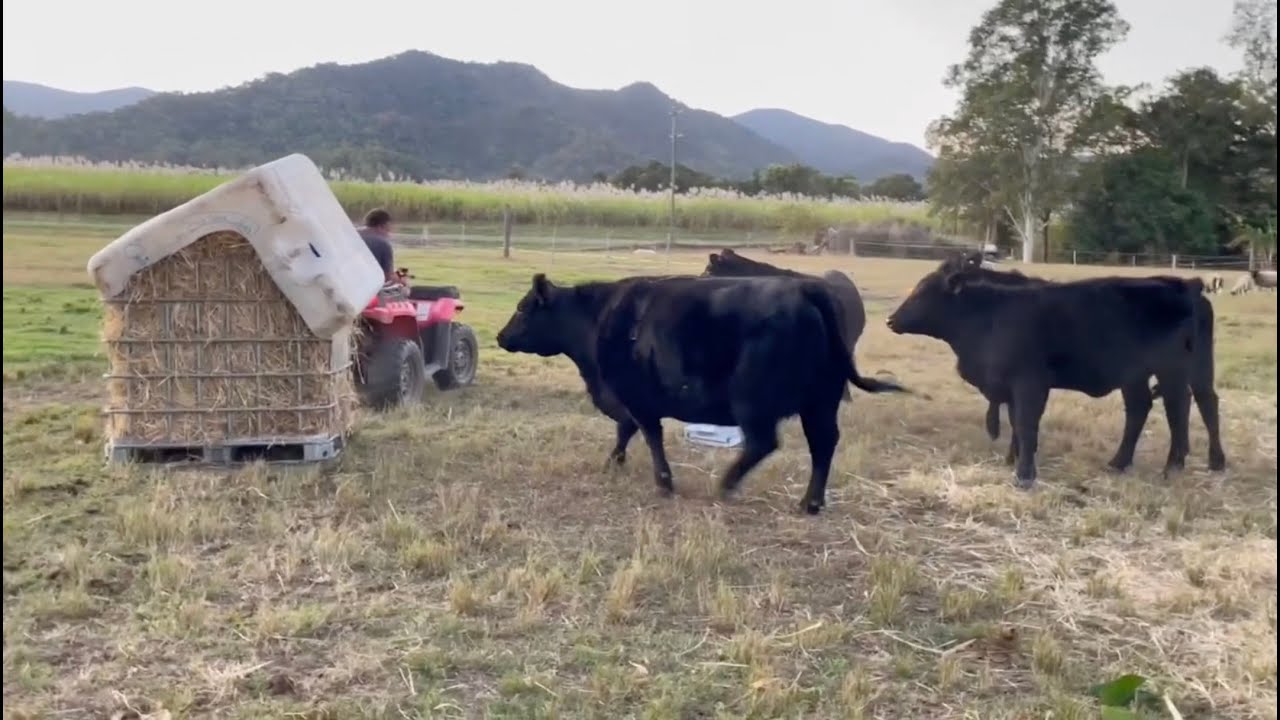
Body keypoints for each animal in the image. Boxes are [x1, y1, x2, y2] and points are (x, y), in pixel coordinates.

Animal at [495, 272, 912, 514]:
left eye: (522, 308)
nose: (500, 336)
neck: (596, 319)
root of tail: (805, 289)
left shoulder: (636, 397)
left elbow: (647, 434)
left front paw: (662, 482)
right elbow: (628, 431)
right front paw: (614, 462)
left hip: (753, 402)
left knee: (763, 443)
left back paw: (726, 484)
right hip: (820, 402)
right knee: (823, 445)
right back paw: (809, 502)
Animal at [886, 261, 1206, 489]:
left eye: (923, 293)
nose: (891, 319)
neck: (989, 317)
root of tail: (1181, 283)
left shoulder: (1029, 383)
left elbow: (1026, 425)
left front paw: (1024, 475)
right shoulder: (1010, 386)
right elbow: (1015, 423)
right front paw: (1012, 460)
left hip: (1171, 371)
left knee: (1177, 410)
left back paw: (1172, 467)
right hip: (1134, 376)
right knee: (1139, 409)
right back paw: (1118, 462)